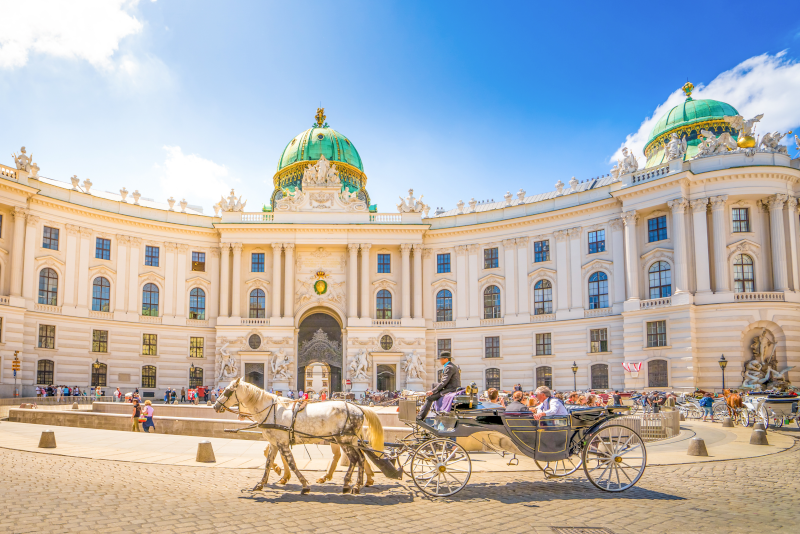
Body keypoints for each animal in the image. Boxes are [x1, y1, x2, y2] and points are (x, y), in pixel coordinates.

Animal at [214, 378, 382, 496]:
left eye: (227, 391)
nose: (215, 406)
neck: (271, 410)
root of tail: (358, 407)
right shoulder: (274, 443)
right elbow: (268, 463)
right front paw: (261, 484)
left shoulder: (282, 443)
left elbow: (292, 463)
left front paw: (304, 485)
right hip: (350, 440)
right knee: (360, 458)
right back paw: (356, 484)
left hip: (344, 440)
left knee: (354, 459)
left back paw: (350, 484)